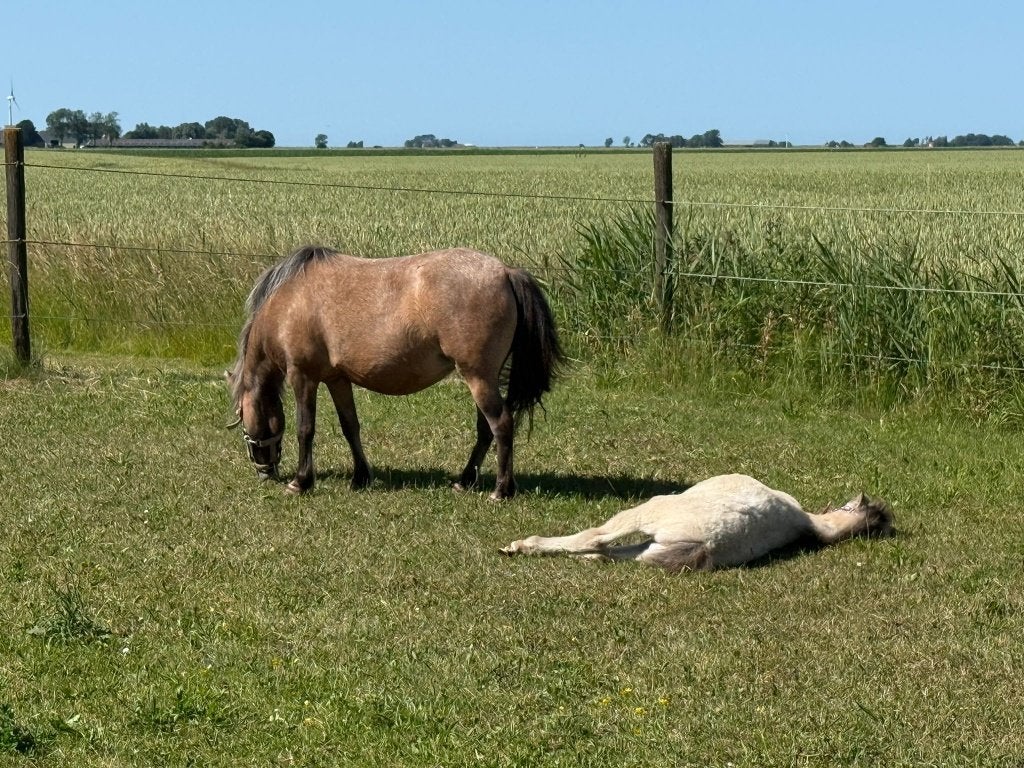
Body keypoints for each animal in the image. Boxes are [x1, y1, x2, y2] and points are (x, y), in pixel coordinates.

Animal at [227, 245, 563, 499]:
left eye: (243, 417)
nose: (264, 471)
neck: (289, 301)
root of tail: (506, 272)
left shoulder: (303, 376)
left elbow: (305, 429)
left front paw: (300, 482)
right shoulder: (337, 379)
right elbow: (350, 427)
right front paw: (360, 477)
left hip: (478, 376)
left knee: (501, 424)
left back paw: (501, 490)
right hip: (483, 378)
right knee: (485, 430)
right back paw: (464, 480)